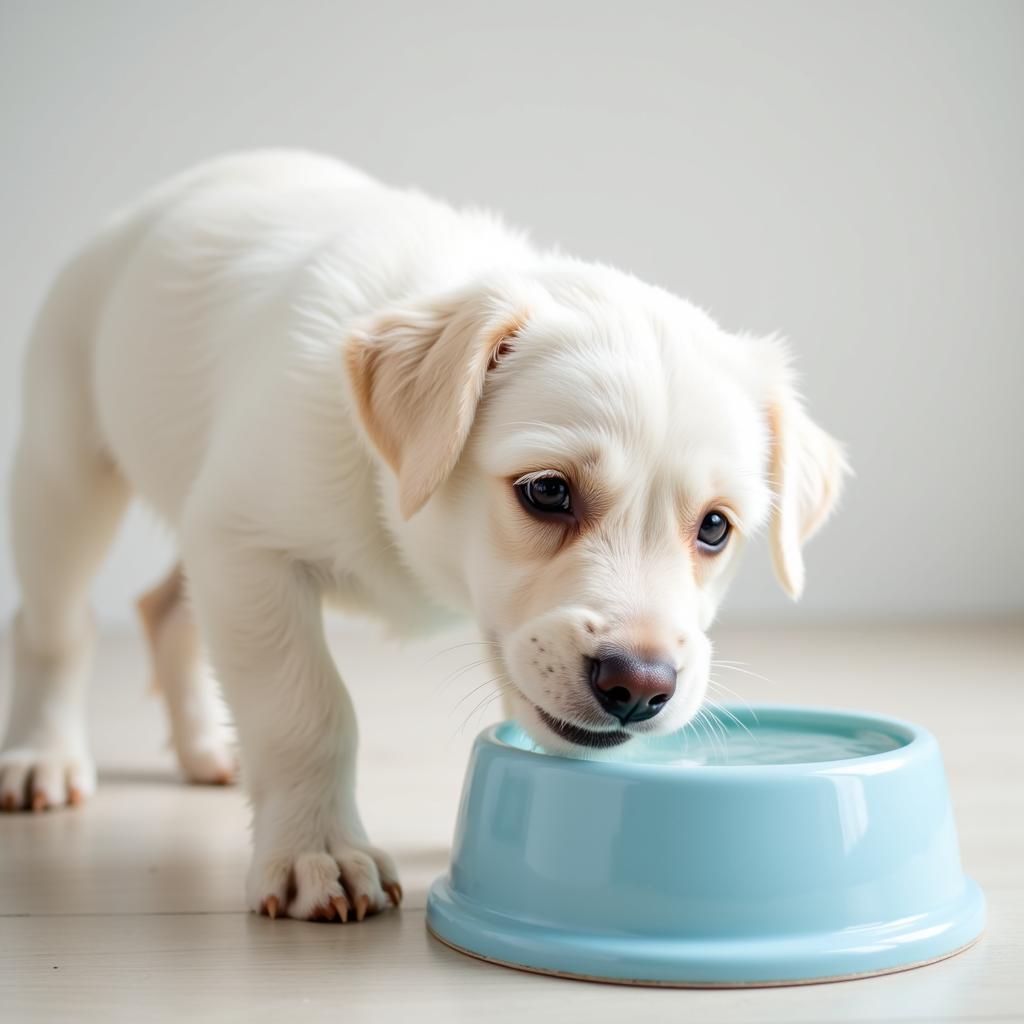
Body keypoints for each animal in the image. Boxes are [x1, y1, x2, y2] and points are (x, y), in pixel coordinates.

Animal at [0, 149, 847, 921]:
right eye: (547, 491)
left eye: (716, 528)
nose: (639, 687)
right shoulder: (247, 546)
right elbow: (307, 707)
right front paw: (319, 851)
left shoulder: (224, 543)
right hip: (64, 475)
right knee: (56, 625)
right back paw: (44, 756)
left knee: (165, 610)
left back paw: (206, 747)